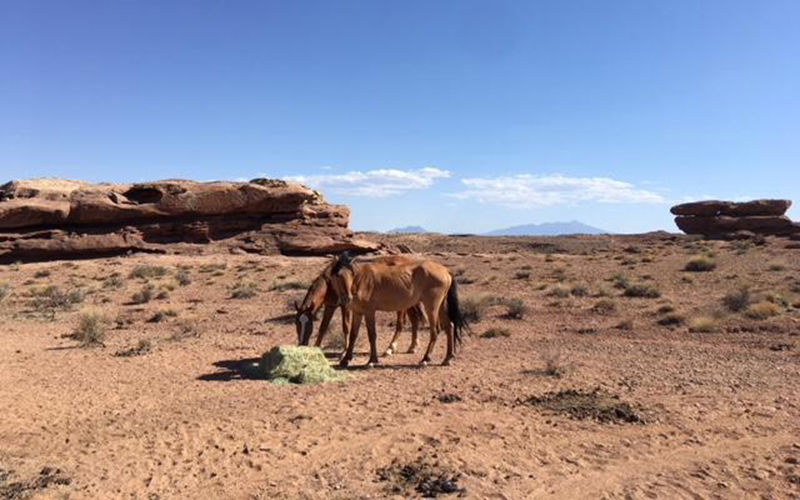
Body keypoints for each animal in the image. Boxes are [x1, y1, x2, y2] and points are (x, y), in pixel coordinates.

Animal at [294, 257, 426, 355]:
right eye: (297, 324)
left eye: (308, 324)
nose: (301, 344)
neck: (330, 283)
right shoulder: (330, 306)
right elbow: (323, 327)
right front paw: (316, 347)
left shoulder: (345, 306)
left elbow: (346, 326)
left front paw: (345, 350)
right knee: (414, 319)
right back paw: (413, 347)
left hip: (401, 306)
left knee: (400, 324)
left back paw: (390, 348)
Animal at [325, 252, 468, 367]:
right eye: (337, 275)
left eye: (352, 274)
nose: (347, 298)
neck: (361, 281)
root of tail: (445, 270)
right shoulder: (358, 312)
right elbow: (354, 335)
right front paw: (346, 360)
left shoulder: (369, 312)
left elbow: (372, 335)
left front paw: (372, 361)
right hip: (441, 306)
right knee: (449, 326)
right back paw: (448, 358)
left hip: (431, 307)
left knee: (435, 331)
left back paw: (425, 359)